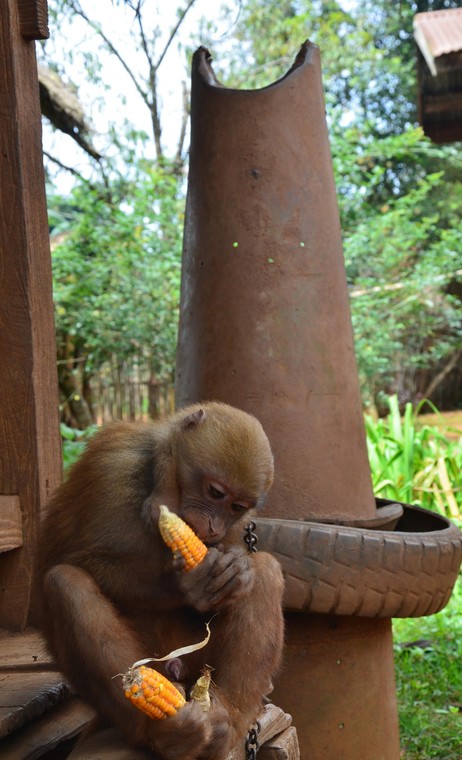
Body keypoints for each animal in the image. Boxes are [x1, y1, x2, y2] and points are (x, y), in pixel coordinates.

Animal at [38, 400, 286, 756]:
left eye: (237, 507)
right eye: (215, 492)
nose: (214, 528)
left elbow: (241, 575)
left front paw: (237, 569)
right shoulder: (112, 465)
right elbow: (70, 558)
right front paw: (185, 585)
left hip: (198, 668)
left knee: (266, 571)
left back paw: (226, 725)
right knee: (65, 582)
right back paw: (165, 735)